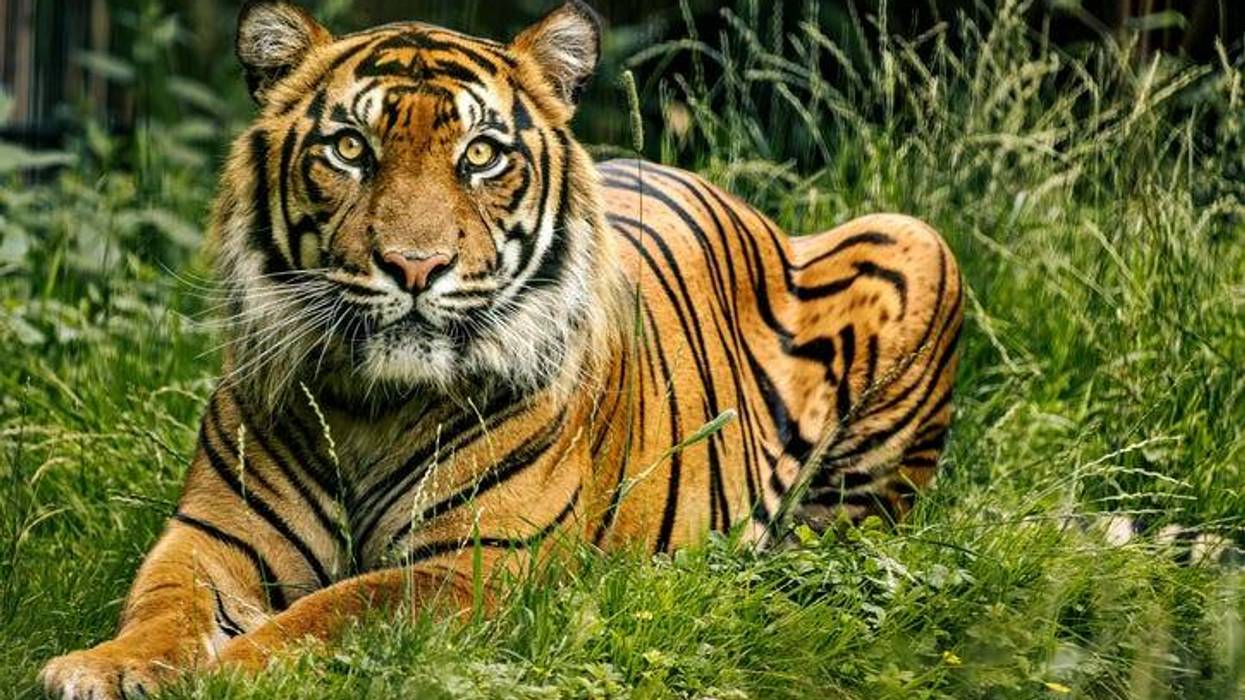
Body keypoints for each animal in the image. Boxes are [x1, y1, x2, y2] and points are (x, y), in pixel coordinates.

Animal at [39, 1, 963, 697]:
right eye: (350, 148)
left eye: (480, 155)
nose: (414, 265)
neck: (371, 406)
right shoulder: (212, 535)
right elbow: (164, 602)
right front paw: (103, 669)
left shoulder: (473, 565)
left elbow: (333, 612)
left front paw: (230, 671)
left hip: (912, 245)